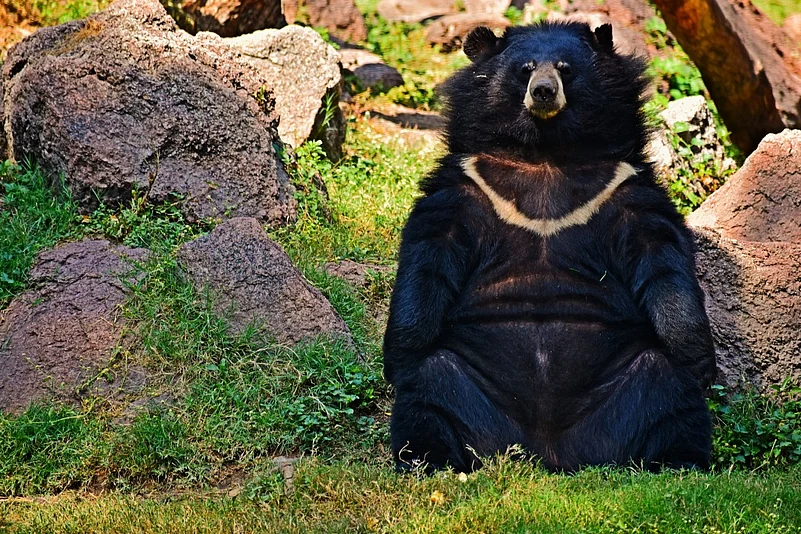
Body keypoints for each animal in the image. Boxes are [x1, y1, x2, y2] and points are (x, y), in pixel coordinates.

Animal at [382, 21, 716, 474]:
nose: (543, 92)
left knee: (671, 394)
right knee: (430, 390)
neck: (545, 151)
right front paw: (397, 358)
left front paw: (701, 361)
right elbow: (429, 254)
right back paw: (431, 459)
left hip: (629, 381)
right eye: (525, 69)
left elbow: (661, 256)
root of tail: (547, 450)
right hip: (467, 380)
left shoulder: (622, 187)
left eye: (565, 69)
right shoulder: (468, 184)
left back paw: (678, 459)